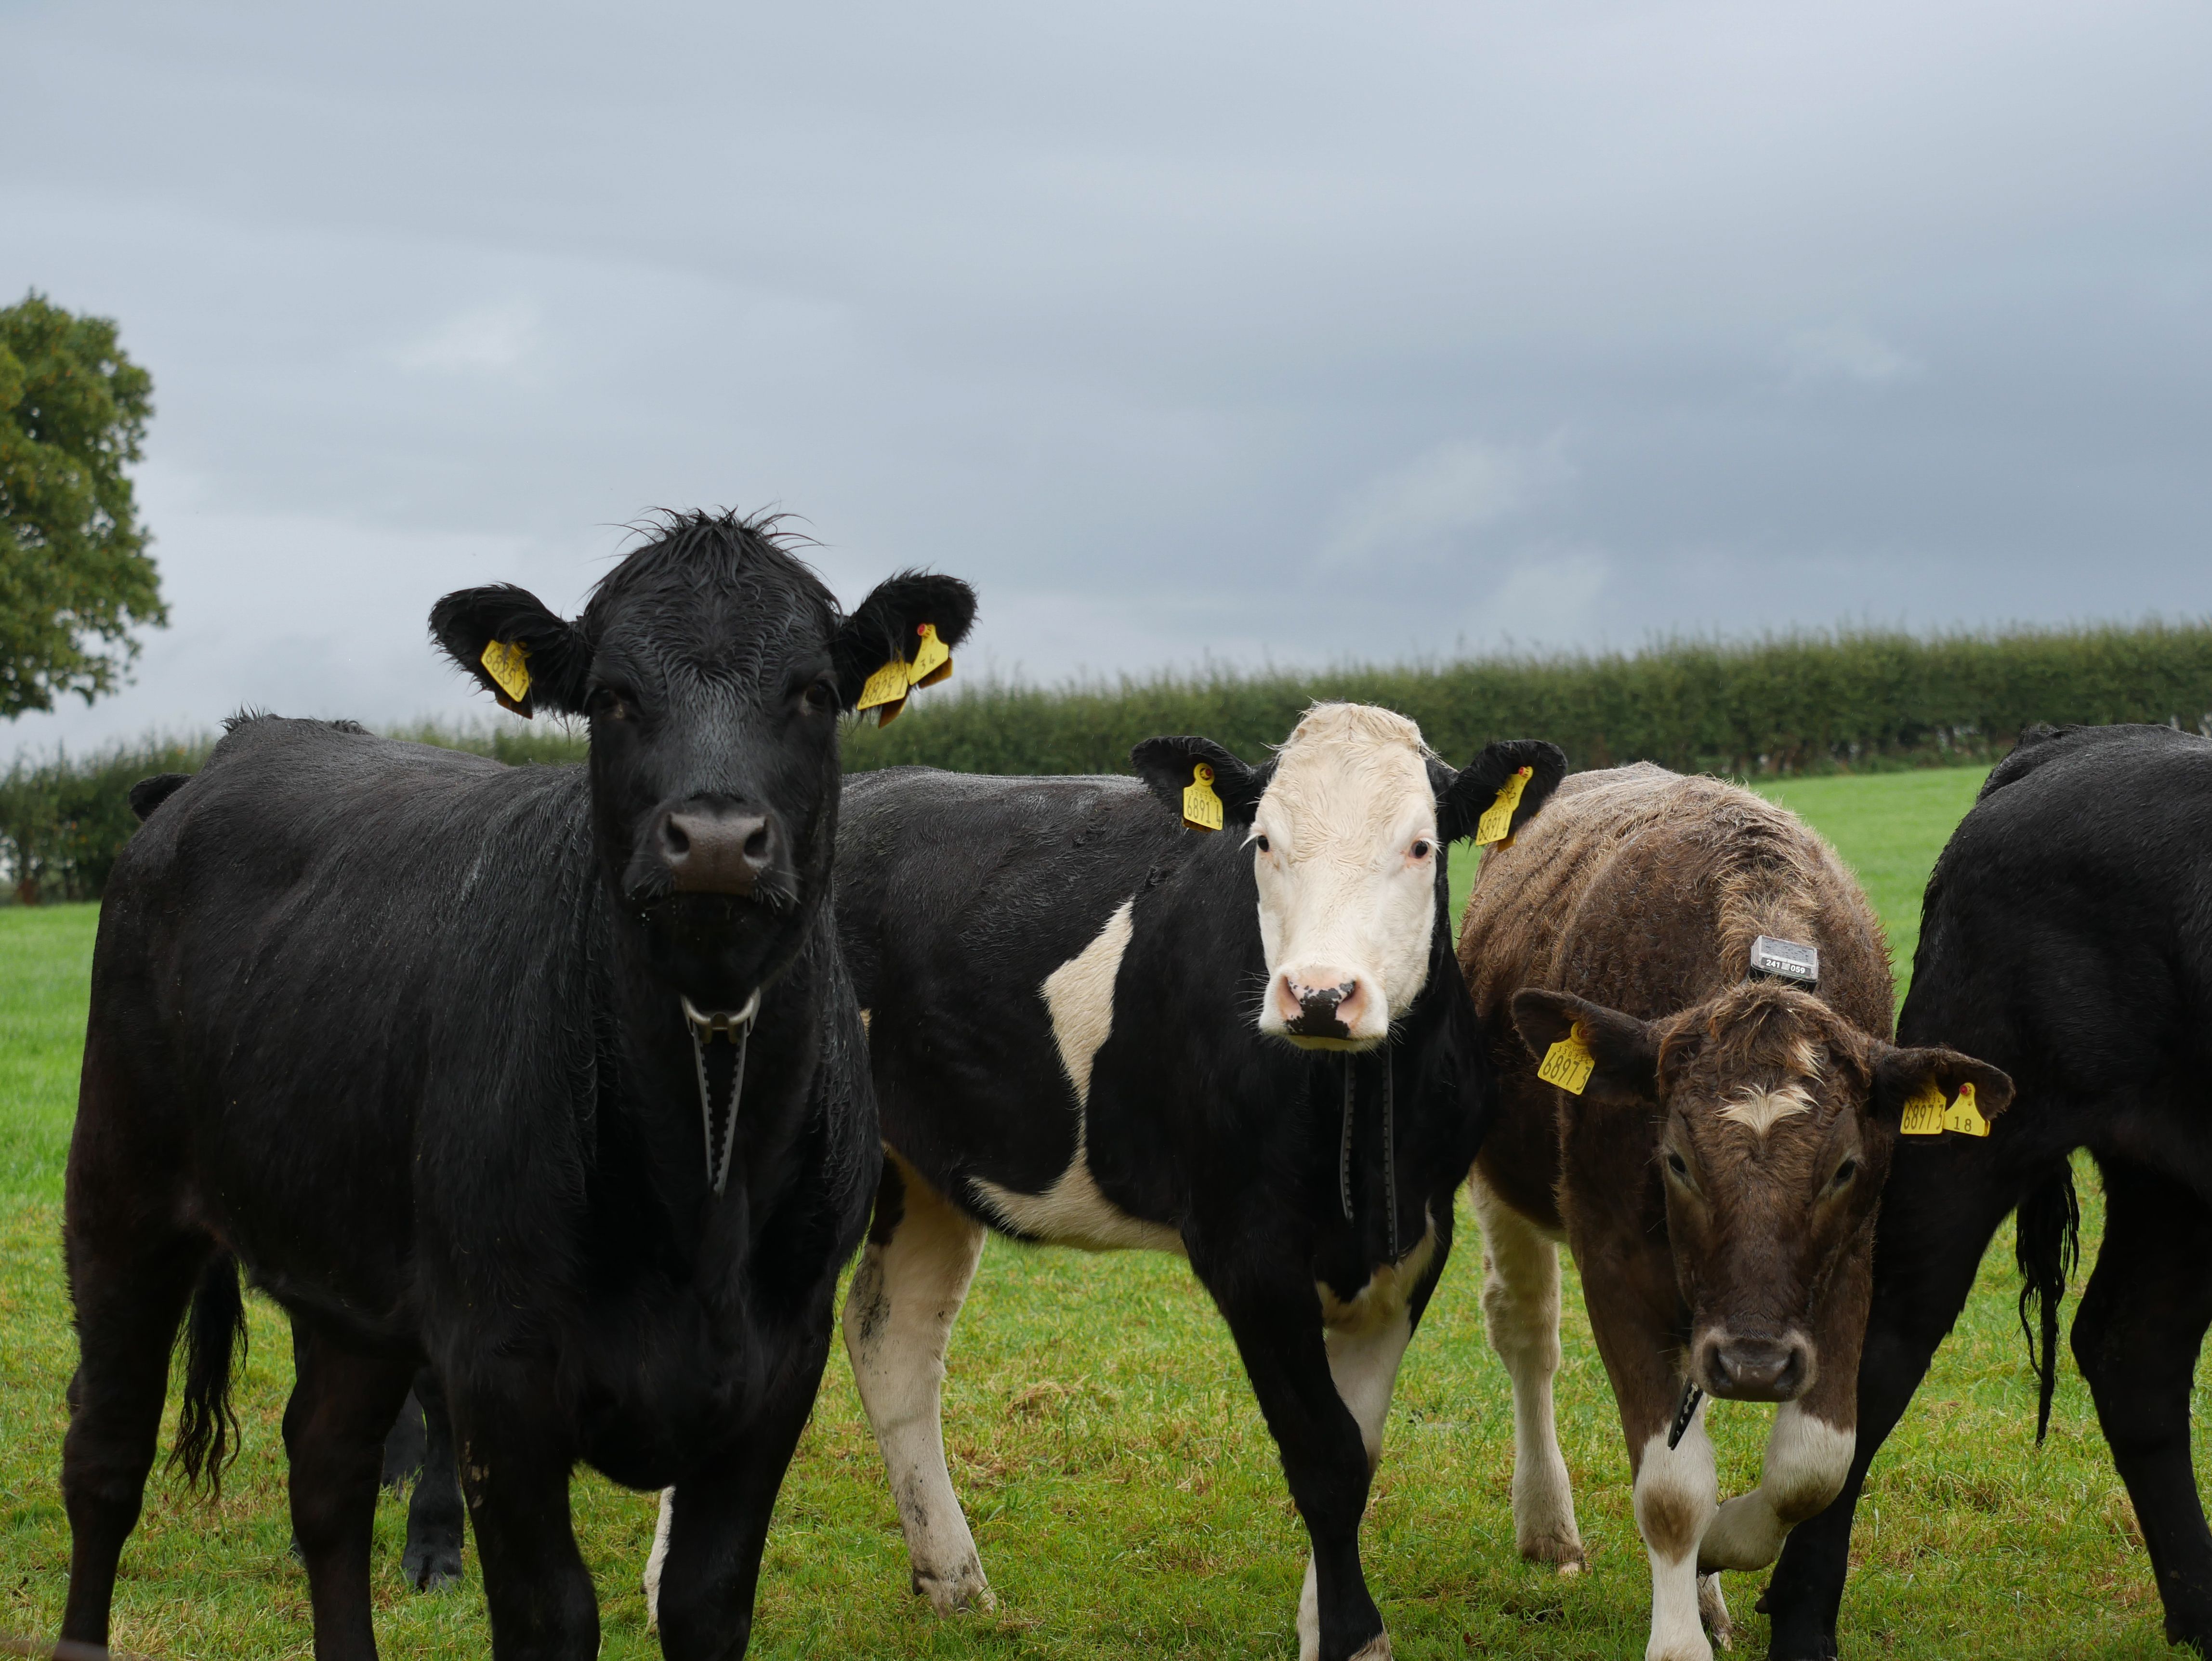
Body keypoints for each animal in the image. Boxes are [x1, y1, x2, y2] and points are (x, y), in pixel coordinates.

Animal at [60, 511, 973, 1661]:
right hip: (119, 1188)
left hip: (348, 1272)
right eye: (614, 695)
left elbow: (708, 1602)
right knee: (106, 1457)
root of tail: (246, 743)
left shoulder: (779, 1366)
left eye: (812, 690)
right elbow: (549, 1614)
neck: (701, 1186)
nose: (717, 841)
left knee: (326, 1473)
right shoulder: (498, 1366)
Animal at [752, 703, 1566, 1661]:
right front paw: (1353, 1634)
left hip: (920, 1171)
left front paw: (1329, 1628)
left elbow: (1359, 1445)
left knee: (894, 1340)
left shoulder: (1414, 1241)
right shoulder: (1246, 1247)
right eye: (1263, 842)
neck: (1356, 1117)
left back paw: (952, 1580)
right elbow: (1323, 1454)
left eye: (1421, 846)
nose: (1320, 995)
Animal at [1460, 769, 2017, 1661]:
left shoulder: (1849, 1257)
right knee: (1526, 1334)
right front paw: (1679, 1631)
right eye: (1677, 1161)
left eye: (1842, 1168)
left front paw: (1722, 1544)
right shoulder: (1613, 1257)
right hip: (1503, 1186)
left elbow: (1814, 1462)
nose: (1755, 1364)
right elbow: (1671, 1491)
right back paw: (1548, 1523)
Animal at [1761, 725, 2212, 1661]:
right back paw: (1802, 1620)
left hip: (2173, 1179)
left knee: (2136, 1348)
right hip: (1967, 1136)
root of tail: (2073, 746)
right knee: (1878, 1348)